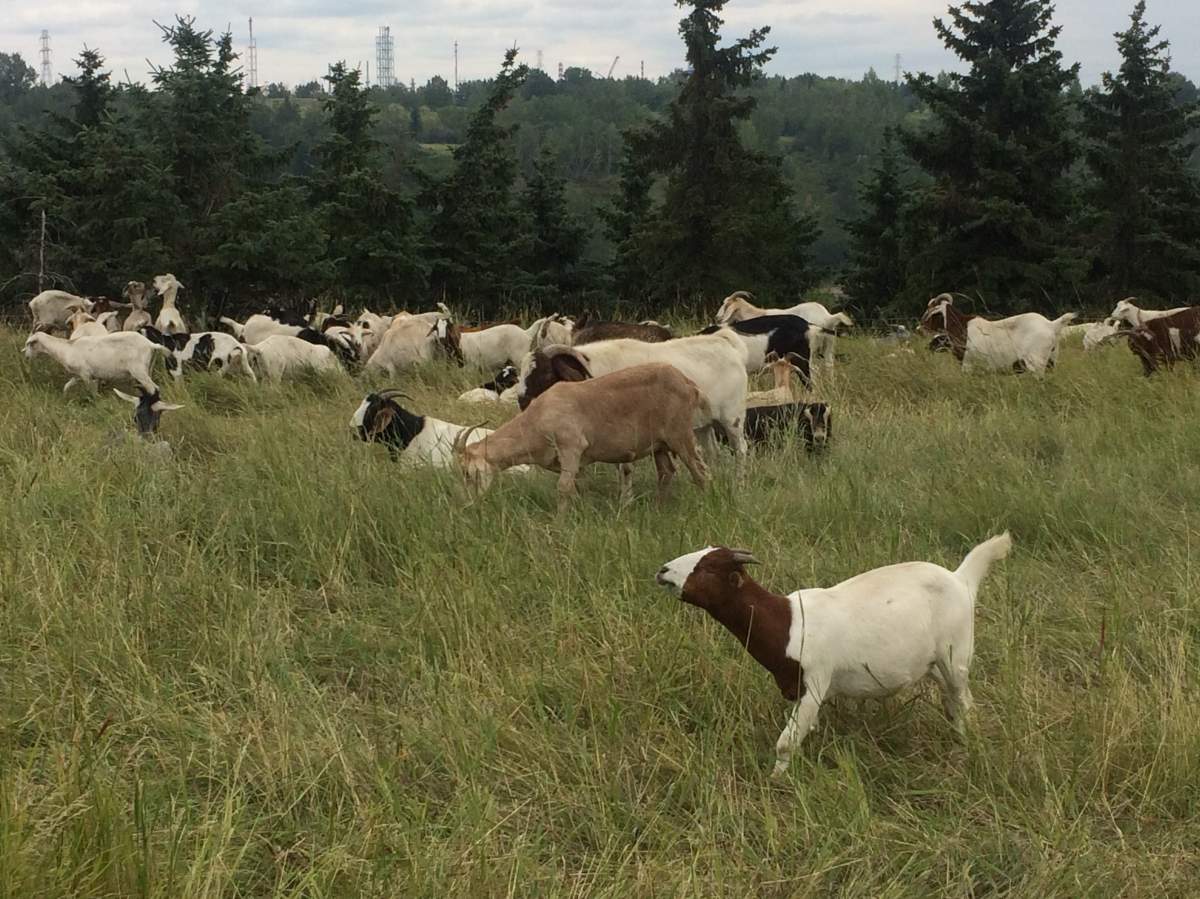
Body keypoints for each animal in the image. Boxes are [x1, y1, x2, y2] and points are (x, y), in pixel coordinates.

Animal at [22, 331, 168, 394]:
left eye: (30, 344)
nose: (26, 356)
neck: (65, 348)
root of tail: (150, 344)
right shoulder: (79, 374)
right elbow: (67, 385)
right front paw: (64, 396)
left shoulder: (85, 373)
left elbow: (91, 390)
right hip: (146, 368)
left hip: (138, 370)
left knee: (153, 387)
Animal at [455, 363, 710, 509]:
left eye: (468, 472)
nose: (468, 503)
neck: (539, 416)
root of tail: (690, 384)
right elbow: (578, 489)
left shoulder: (571, 449)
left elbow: (563, 488)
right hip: (660, 444)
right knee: (667, 472)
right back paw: (658, 509)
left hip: (680, 435)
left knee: (700, 472)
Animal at [514, 331, 750, 466]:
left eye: (546, 373)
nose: (522, 401)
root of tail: (728, 346)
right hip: (703, 425)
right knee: (712, 454)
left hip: (733, 419)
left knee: (741, 450)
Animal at [655, 533, 1011, 775]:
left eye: (707, 568)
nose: (663, 571)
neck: (787, 622)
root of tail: (961, 579)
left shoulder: (815, 681)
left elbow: (786, 742)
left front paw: (776, 781)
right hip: (936, 663)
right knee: (957, 701)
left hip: (955, 655)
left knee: (960, 702)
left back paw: (963, 750)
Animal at [920, 294, 1075, 374]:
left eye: (930, 311)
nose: (919, 327)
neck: (962, 326)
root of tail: (1052, 325)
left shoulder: (967, 364)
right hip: (1051, 361)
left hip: (1036, 363)